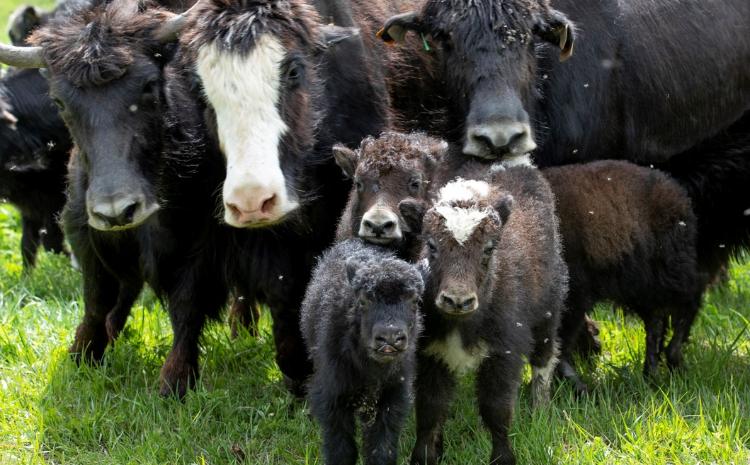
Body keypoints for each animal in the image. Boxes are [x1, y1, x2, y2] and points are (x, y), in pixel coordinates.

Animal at [300, 238, 426, 465]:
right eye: (364, 300)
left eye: (415, 301)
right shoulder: (332, 397)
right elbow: (341, 450)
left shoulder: (393, 397)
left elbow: (381, 448)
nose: (390, 337)